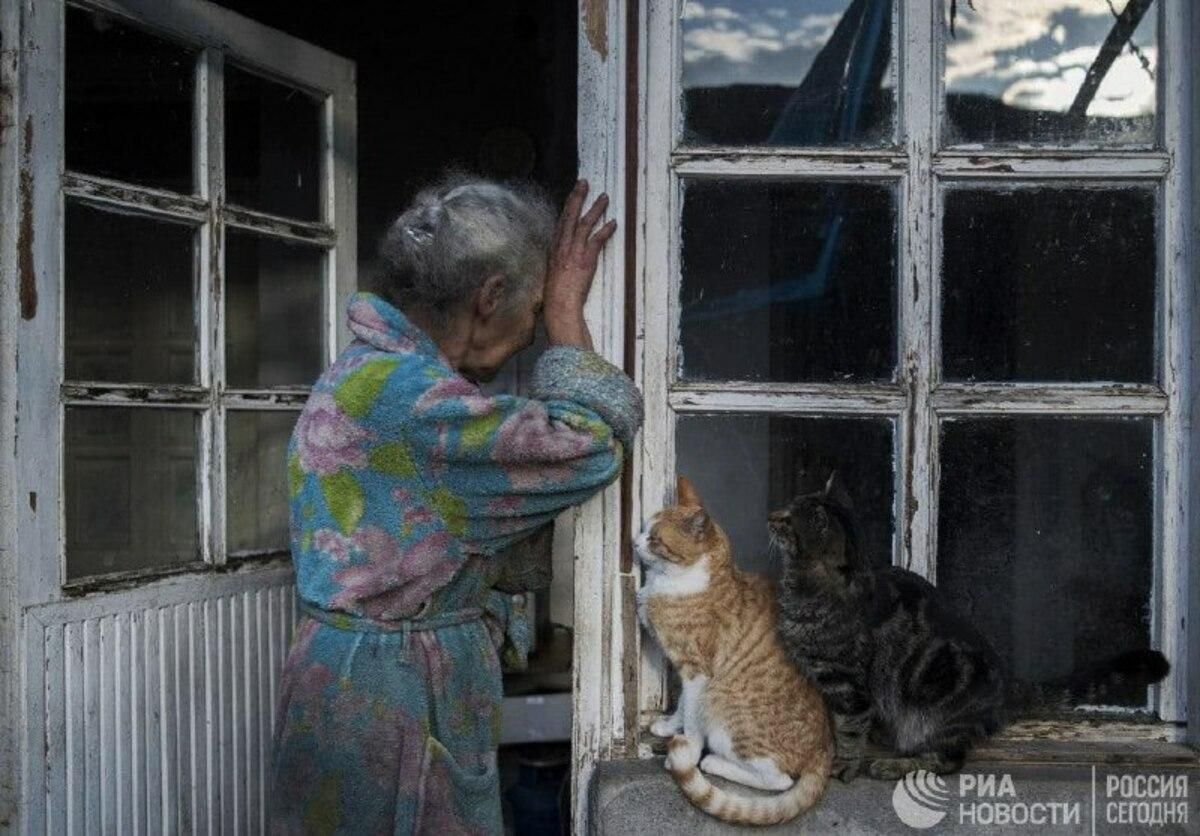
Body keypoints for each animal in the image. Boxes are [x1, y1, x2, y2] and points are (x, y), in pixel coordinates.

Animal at [638, 472, 835, 825]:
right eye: (645, 529)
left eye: (655, 540)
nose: (634, 542)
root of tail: (824, 750)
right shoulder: (687, 673)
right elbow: (683, 707)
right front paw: (668, 726)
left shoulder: (697, 672)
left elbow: (692, 719)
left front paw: (685, 752)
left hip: (720, 704)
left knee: (779, 780)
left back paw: (711, 762)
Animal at [772, 474, 1166, 782]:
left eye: (789, 519)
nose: (771, 515)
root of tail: (1009, 685)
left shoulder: (847, 684)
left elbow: (849, 730)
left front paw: (842, 764)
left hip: (938, 714)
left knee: (949, 761)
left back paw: (893, 766)